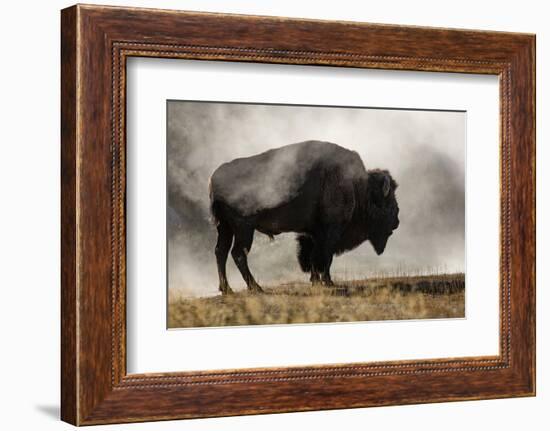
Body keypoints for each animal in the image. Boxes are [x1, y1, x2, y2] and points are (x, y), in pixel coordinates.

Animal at [211, 140, 402, 296]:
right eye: (389, 200)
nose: (397, 221)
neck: (357, 186)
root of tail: (214, 177)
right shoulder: (331, 231)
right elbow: (325, 257)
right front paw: (328, 282)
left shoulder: (314, 234)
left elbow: (313, 256)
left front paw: (316, 281)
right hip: (243, 228)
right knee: (238, 253)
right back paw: (256, 288)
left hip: (225, 227)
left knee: (221, 251)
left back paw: (227, 289)